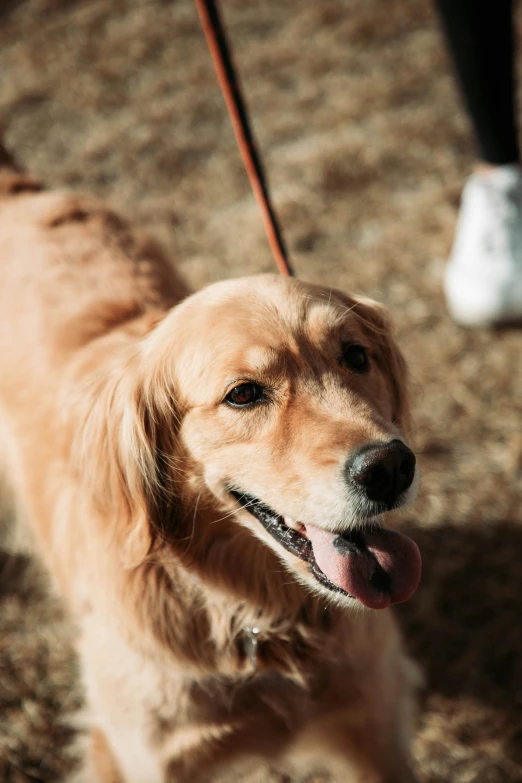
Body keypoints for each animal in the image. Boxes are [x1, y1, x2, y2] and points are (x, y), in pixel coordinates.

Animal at [0, 149, 418, 783]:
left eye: (355, 356)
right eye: (243, 394)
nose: (391, 467)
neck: (257, 619)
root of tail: (18, 189)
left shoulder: (375, 718)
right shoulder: (151, 756)